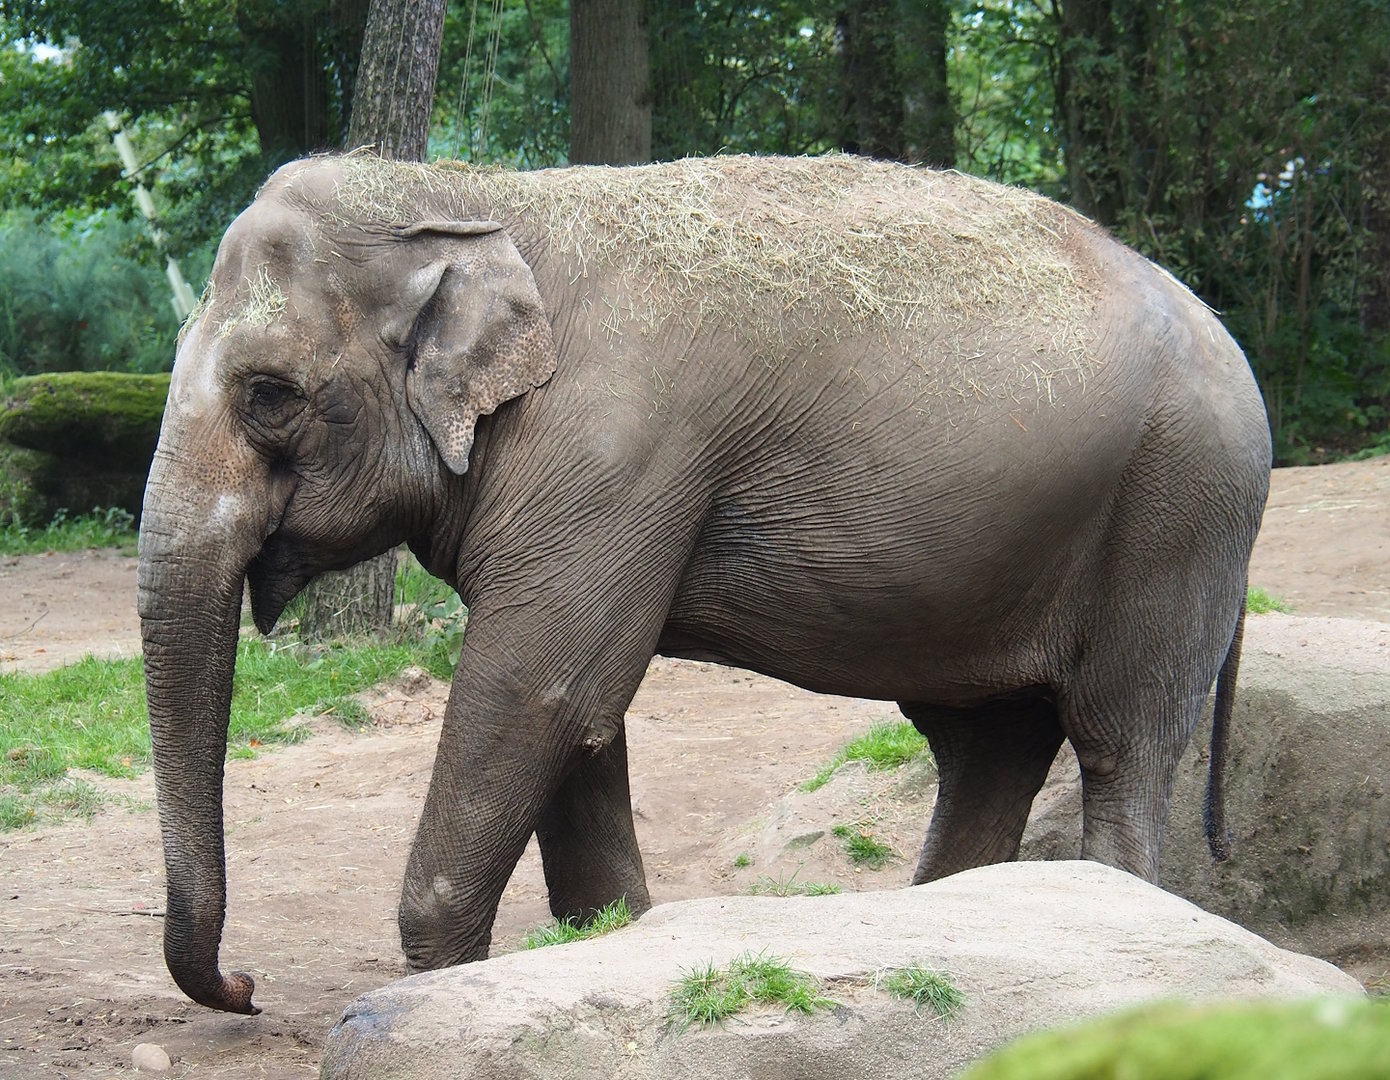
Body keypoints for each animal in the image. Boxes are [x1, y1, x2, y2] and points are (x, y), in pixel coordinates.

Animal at [137, 153, 1271, 1015]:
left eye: (269, 397)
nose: (248, 988)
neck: (476, 193)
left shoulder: (610, 459)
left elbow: (544, 692)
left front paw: (437, 991)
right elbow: (580, 724)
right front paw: (610, 941)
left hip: (1180, 514)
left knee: (1122, 744)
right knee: (987, 746)